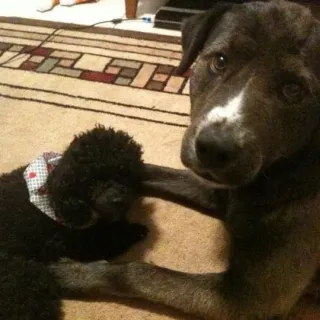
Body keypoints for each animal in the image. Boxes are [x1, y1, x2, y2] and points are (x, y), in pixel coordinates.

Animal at [0, 125, 148, 320]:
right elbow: (107, 239)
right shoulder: (71, 243)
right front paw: (135, 229)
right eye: (93, 179)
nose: (118, 200)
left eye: (125, 174)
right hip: (24, 280)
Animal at [50, 1, 320, 318]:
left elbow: (138, 273)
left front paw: (72, 273)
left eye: (293, 89)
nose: (214, 148)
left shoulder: (249, 300)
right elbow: (149, 171)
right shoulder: (217, 190)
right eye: (220, 61)